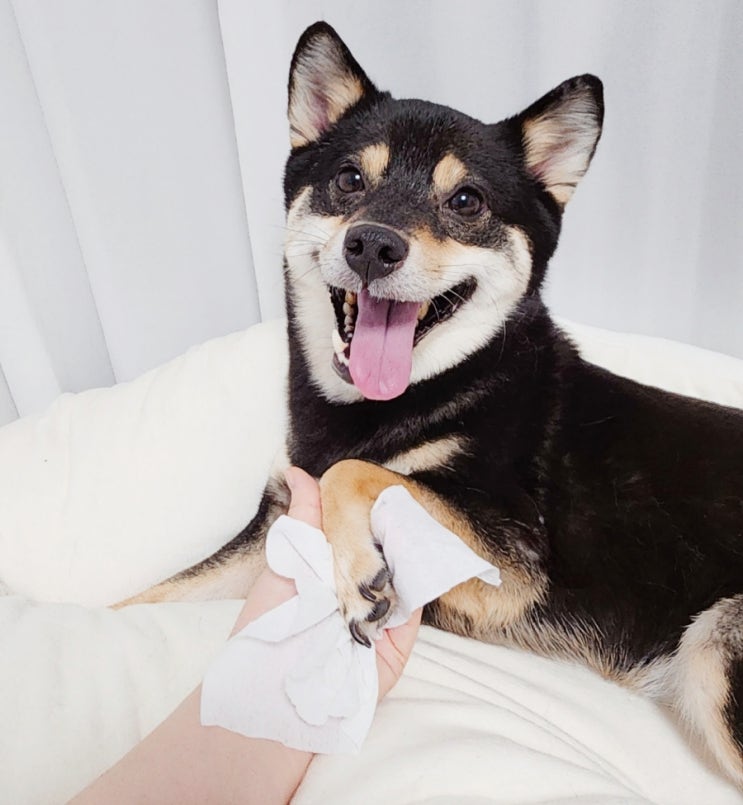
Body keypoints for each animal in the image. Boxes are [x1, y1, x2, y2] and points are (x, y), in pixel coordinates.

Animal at [125, 22, 743, 785]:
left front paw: (359, 571)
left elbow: (356, 471)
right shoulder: (276, 515)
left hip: (716, 650)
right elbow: (151, 597)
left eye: (467, 201)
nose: (372, 243)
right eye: (349, 179)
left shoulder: (514, 560)